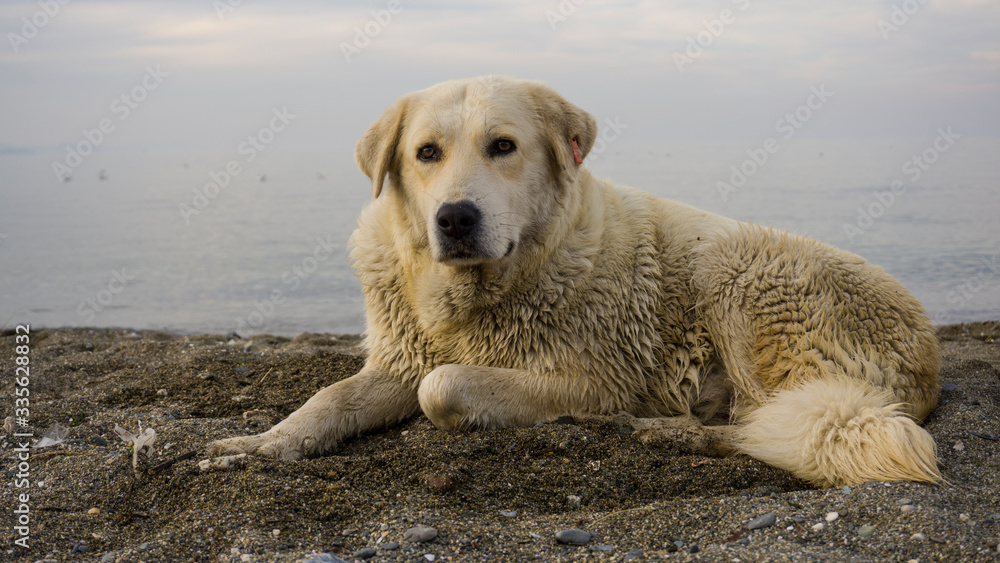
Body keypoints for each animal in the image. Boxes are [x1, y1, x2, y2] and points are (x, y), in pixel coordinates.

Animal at [207, 76, 940, 490]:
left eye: (503, 146)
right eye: (426, 153)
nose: (455, 218)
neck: (477, 295)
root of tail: (929, 355)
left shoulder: (590, 377)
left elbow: (440, 387)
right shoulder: (401, 356)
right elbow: (330, 397)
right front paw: (266, 442)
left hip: (736, 273)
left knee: (771, 421)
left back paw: (671, 430)